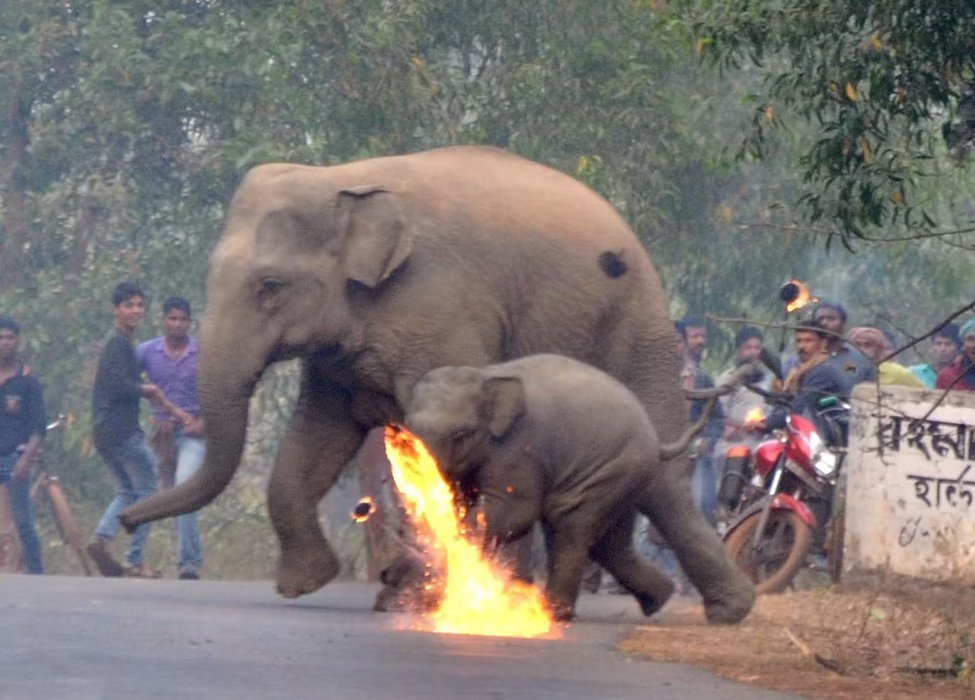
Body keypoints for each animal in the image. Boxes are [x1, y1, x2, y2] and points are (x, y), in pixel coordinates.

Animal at [398, 352, 692, 620]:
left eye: (461, 434)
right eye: (408, 429)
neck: (486, 375)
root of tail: (653, 434)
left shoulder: (519, 447)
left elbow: (516, 510)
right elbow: (462, 502)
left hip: (615, 470)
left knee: (573, 526)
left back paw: (554, 613)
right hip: (623, 478)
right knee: (611, 546)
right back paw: (658, 599)